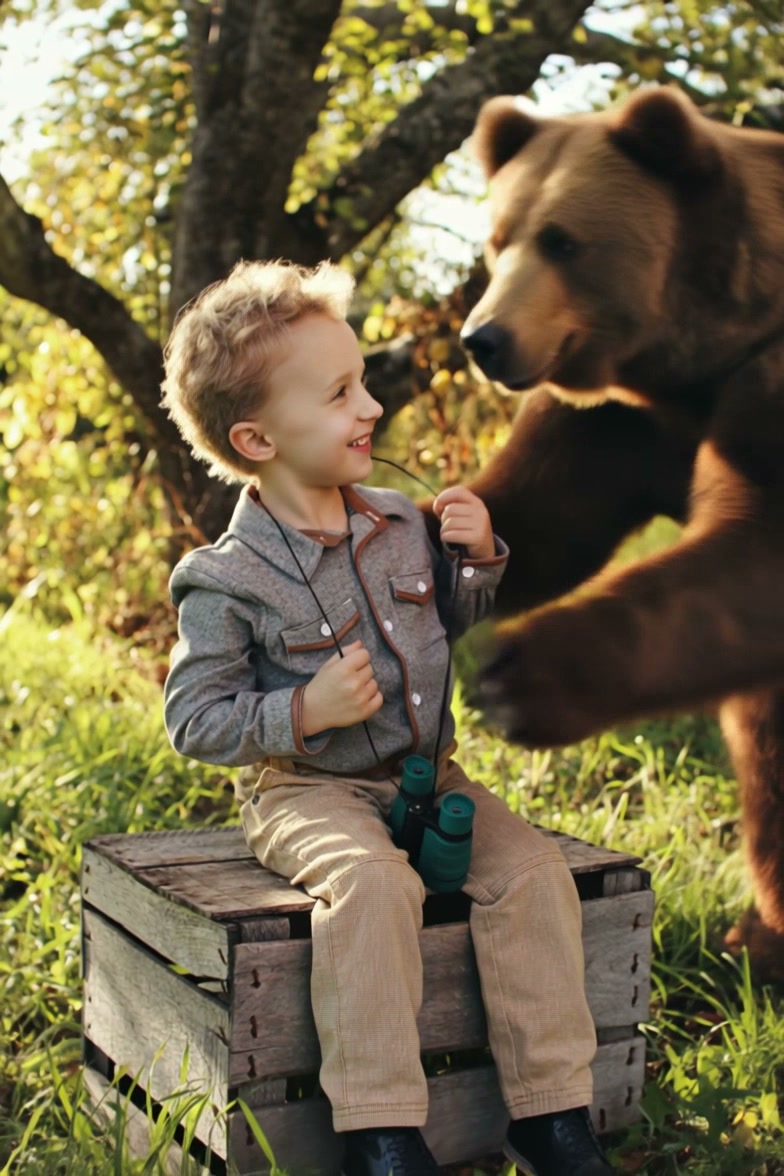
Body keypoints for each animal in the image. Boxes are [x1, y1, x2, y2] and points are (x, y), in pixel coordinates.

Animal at [456, 85, 784, 981]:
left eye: (563, 239)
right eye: (497, 238)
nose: (483, 338)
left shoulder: (762, 388)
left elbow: (752, 551)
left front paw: (517, 675)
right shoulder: (616, 425)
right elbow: (539, 519)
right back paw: (755, 939)